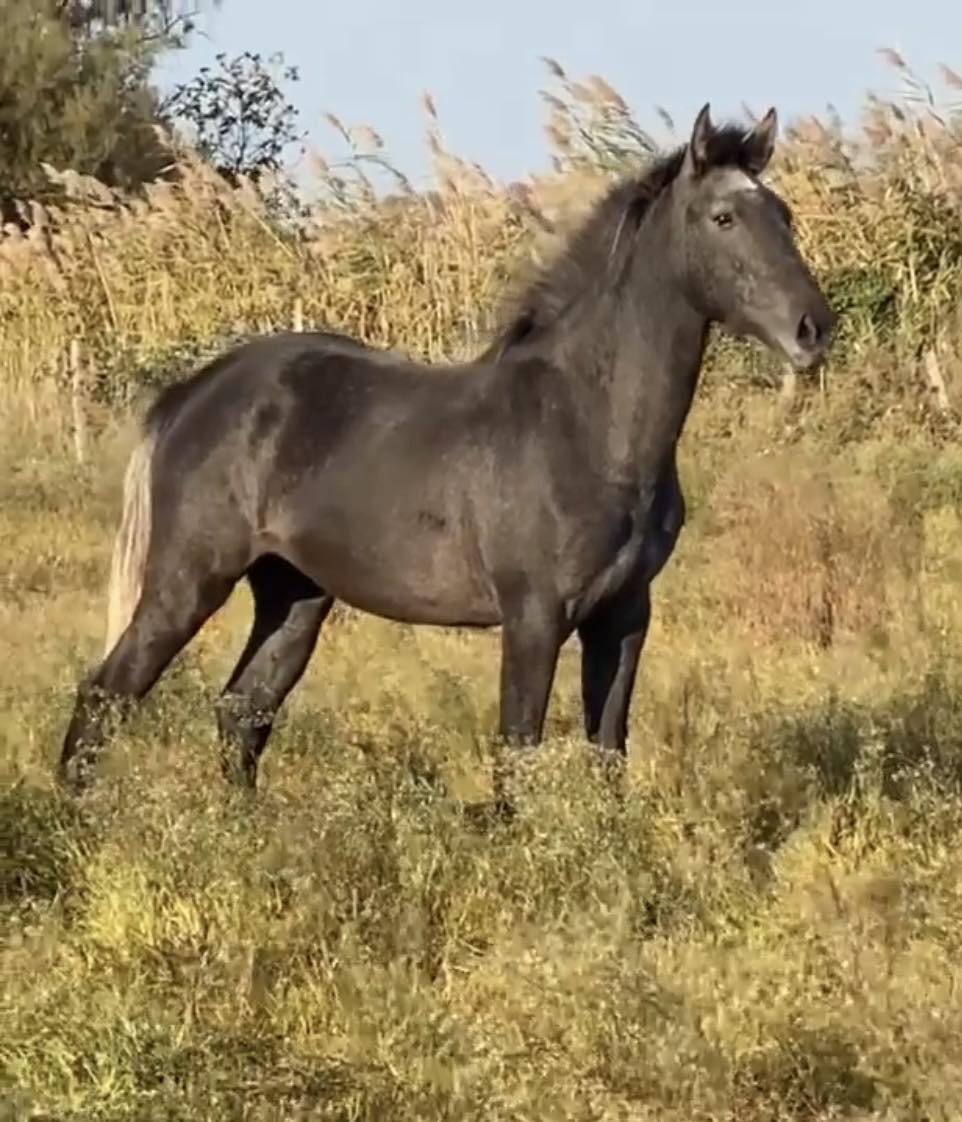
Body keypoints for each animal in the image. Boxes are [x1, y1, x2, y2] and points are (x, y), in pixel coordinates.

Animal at [62, 100, 835, 794]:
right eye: (724, 218)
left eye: (786, 216)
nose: (813, 328)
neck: (587, 425)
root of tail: (193, 392)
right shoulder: (534, 618)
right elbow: (515, 755)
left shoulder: (624, 617)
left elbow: (608, 754)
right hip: (188, 578)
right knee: (106, 695)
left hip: (294, 594)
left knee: (242, 712)